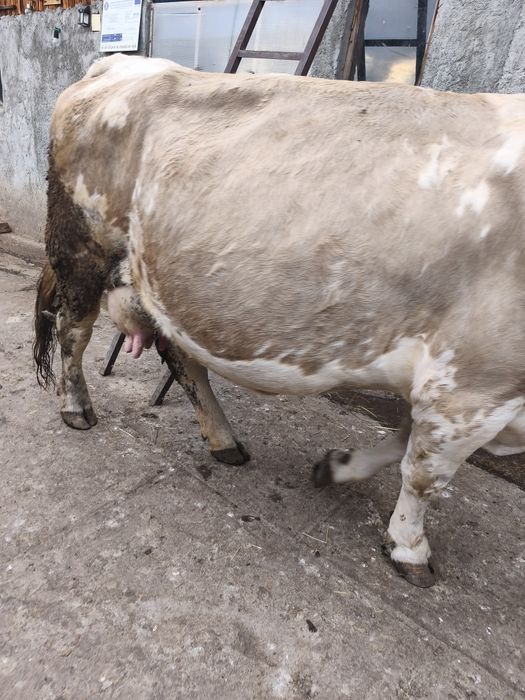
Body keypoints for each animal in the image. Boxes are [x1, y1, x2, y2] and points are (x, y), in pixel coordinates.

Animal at [34, 53, 525, 588]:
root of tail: (122, 62)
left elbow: (401, 442)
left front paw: (338, 467)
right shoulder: (471, 387)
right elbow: (423, 474)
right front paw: (409, 548)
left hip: (165, 283)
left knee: (180, 355)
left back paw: (223, 441)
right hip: (81, 249)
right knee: (73, 333)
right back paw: (77, 409)